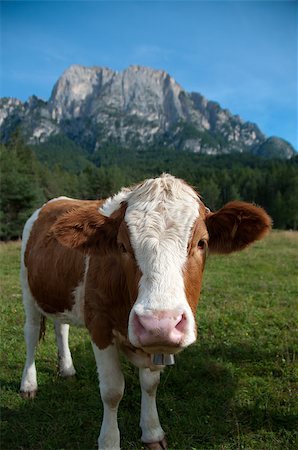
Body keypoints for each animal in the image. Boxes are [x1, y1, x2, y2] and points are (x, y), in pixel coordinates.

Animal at [18, 174, 270, 448]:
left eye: (202, 242)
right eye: (122, 246)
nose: (159, 324)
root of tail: (55, 201)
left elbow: (150, 384)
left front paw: (152, 432)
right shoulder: (99, 324)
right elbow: (112, 390)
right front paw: (109, 441)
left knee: (60, 327)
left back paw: (67, 369)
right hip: (28, 292)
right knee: (31, 335)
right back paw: (29, 384)